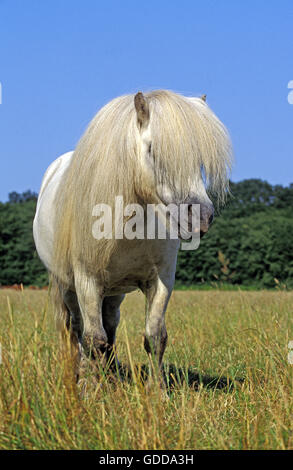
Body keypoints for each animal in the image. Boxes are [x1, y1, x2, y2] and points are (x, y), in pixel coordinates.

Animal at [33, 91, 232, 386]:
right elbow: (92, 339)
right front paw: (90, 388)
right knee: (78, 330)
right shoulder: (87, 280)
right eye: (152, 150)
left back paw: (111, 372)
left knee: (110, 325)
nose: (201, 217)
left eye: (198, 160)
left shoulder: (160, 280)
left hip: (114, 292)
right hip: (67, 286)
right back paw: (82, 373)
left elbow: (155, 336)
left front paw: (157, 389)